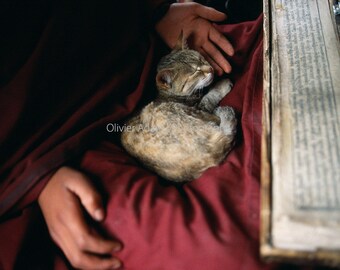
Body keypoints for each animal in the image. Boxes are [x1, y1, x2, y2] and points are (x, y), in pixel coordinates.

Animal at [121, 33, 236, 181]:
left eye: (201, 59)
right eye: (194, 72)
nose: (210, 69)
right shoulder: (200, 107)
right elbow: (210, 96)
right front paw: (222, 85)